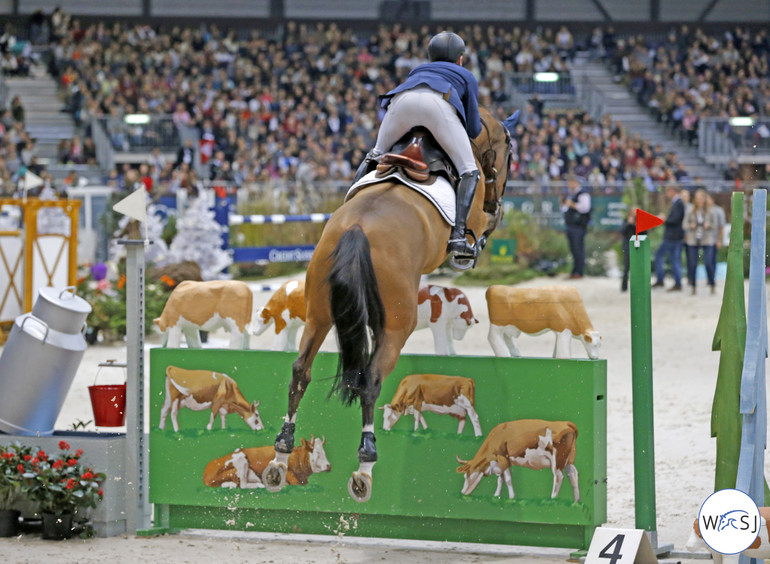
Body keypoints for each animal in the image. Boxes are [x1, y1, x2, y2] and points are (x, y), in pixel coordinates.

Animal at [260, 107, 512, 502]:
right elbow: (486, 223)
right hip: (396, 326)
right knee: (371, 380)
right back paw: (365, 464)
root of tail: (357, 229)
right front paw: (472, 245)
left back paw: (280, 456)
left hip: (318, 315)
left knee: (301, 371)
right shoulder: (475, 214)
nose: (496, 193)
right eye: (506, 155)